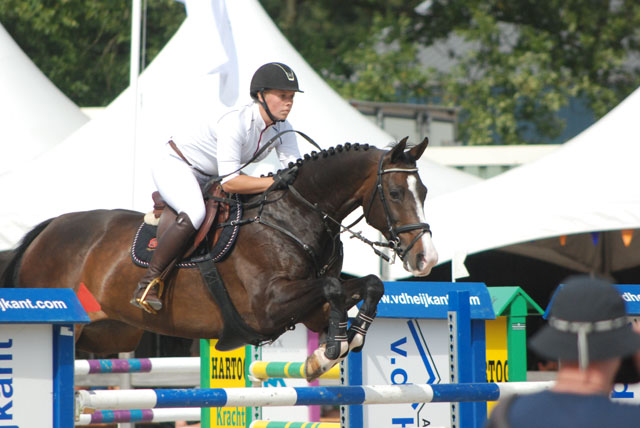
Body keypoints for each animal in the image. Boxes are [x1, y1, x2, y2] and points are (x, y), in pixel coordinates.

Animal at [0, 136, 438, 378]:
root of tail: (47, 230)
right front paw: (331, 349)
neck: (296, 214)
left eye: (425, 192)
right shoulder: (268, 306)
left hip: (110, 332)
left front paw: (343, 342)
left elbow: (368, 285)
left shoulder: (309, 309)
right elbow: (332, 287)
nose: (427, 259)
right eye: (395, 193)